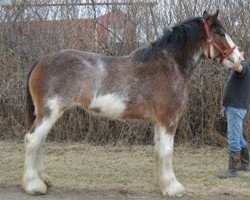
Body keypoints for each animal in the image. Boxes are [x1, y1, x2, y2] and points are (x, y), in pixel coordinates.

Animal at [22, 10, 242, 196]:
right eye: (221, 33)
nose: (239, 57)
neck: (170, 65)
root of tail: (41, 61)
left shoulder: (159, 122)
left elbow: (159, 152)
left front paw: (163, 184)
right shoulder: (169, 120)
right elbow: (167, 152)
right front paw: (173, 187)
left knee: (39, 142)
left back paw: (43, 179)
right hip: (49, 113)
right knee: (33, 140)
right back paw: (34, 185)